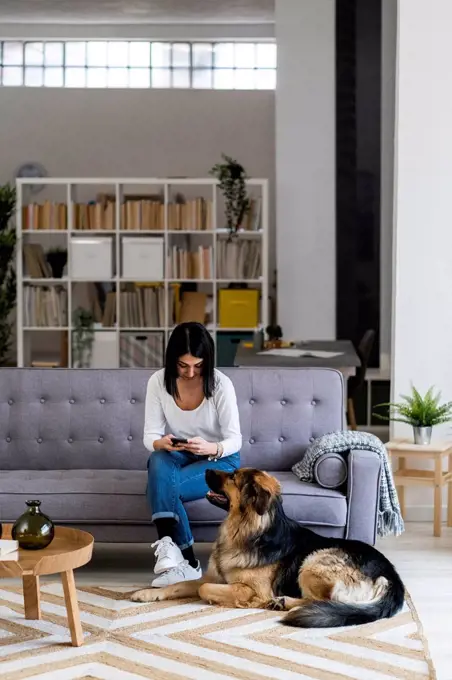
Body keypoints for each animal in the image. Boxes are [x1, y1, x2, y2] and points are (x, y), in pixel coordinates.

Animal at [132, 468, 406, 628]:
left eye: (232, 476)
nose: (207, 465)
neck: (244, 529)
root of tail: (393, 578)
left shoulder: (249, 588)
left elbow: (204, 589)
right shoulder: (214, 577)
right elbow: (179, 585)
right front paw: (146, 593)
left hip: (314, 561)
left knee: (326, 601)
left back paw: (283, 602)